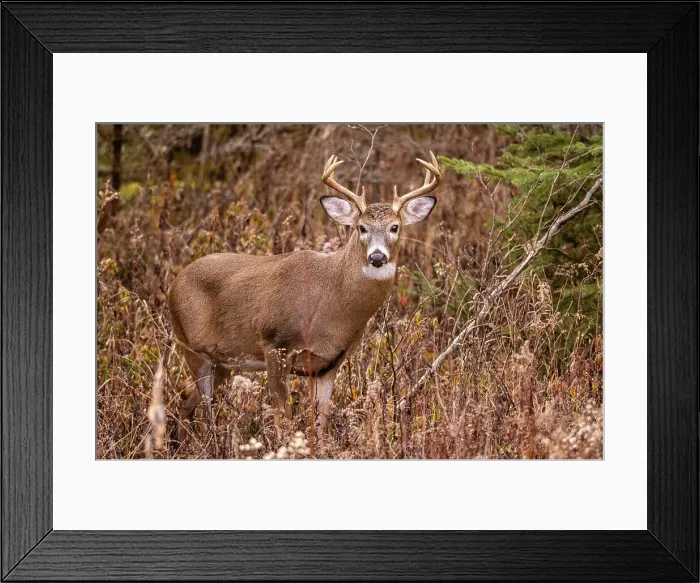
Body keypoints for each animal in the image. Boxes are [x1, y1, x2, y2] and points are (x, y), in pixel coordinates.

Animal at [169, 152, 442, 445]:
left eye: (395, 227)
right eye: (361, 227)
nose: (377, 257)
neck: (330, 306)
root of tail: (176, 281)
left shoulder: (330, 363)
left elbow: (322, 418)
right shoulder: (274, 343)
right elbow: (283, 416)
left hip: (222, 363)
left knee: (186, 399)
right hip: (191, 347)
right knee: (203, 403)